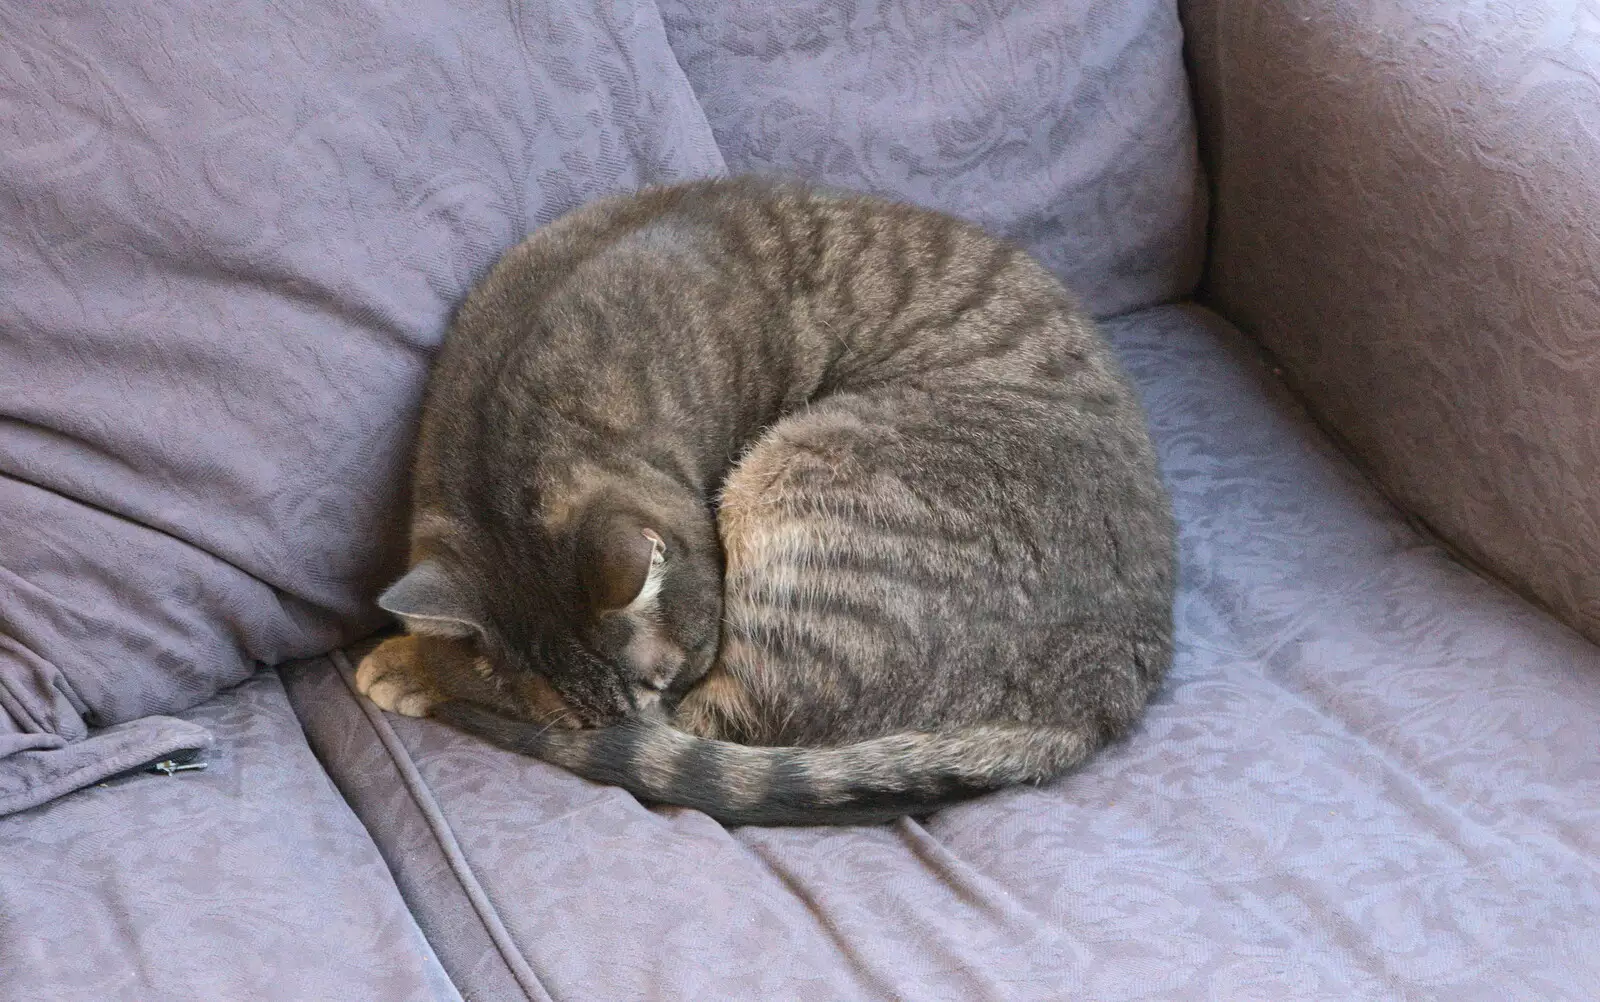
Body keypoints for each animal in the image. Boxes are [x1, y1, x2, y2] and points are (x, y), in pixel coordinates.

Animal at [360, 175, 1177, 825]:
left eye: (662, 679)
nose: (636, 720)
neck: (502, 402)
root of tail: (1105, 684)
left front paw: (414, 664)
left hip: (795, 490)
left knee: (731, 733)